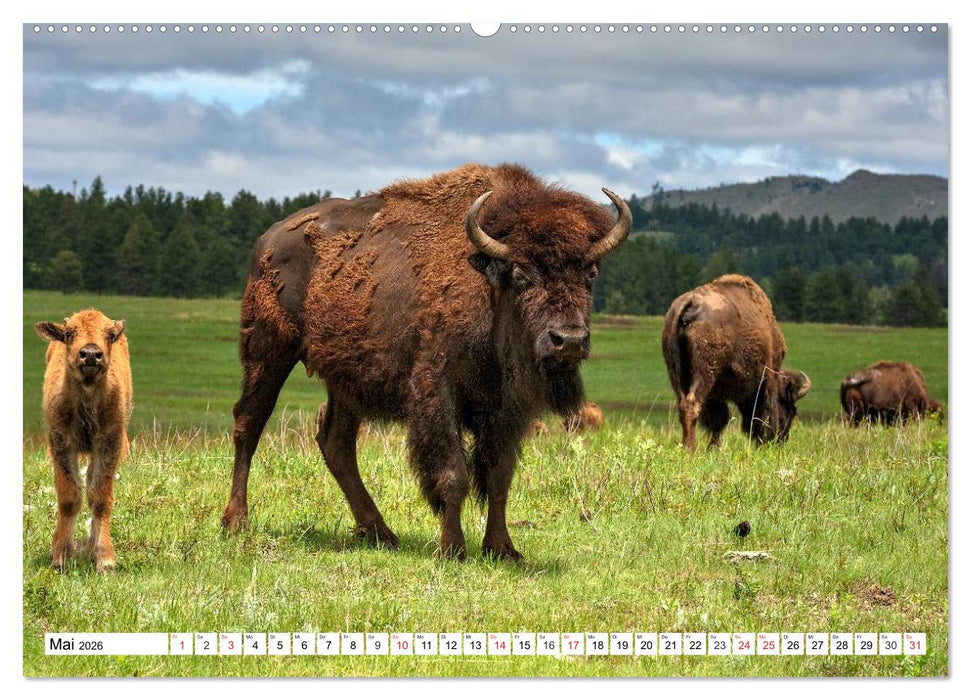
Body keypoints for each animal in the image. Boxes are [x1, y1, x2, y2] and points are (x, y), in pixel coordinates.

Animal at [221, 163, 631, 560]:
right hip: (268, 350)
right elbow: (454, 473)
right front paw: (453, 548)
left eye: (590, 274)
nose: (569, 340)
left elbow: (499, 475)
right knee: (249, 423)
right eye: (521, 273)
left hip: (346, 378)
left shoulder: (507, 409)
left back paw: (381, 533)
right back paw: (236, 522)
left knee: (336, 441)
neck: (489, 287)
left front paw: (503, 549)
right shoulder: (437, 393)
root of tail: (269, 239)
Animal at [662, 274, 811, 450]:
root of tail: (692, 302)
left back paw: (686, 446)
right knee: (693, 404)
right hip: (704, 374)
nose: (781, 440)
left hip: (676, 373)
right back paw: (692, 448)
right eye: (790, 410)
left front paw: (713, 449)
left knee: (684, 404)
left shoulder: (716, 395)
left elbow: (719, 421)